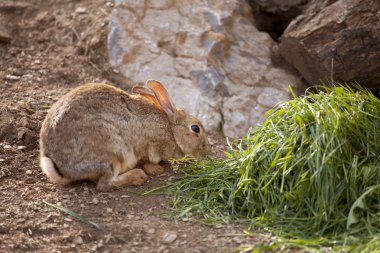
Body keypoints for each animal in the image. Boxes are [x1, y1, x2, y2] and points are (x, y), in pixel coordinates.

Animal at [38, 80, 211, 191]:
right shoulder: (151, 146)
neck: (171, 129)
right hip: (113, 153)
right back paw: (137, 176)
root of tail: (62, 169)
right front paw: (156, 169)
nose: (208, 149)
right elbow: (149, 160)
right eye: (195, 128)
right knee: (105, 184)